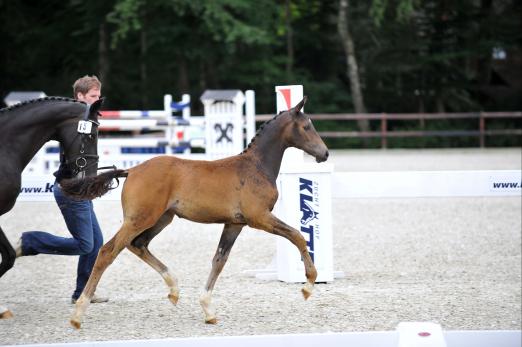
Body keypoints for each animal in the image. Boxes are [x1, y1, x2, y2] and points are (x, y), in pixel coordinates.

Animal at [62, 97, 330, 328]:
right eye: (307, 126)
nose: (325, 153)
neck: (256, 167)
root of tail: (133, 170)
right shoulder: (259, 218)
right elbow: (297, 235)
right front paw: (308, 284)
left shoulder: (235, 224)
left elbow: (219, 260)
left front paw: (208, 310)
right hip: (140, 219)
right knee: (108, 251)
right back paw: (78, 314)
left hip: (162, 219)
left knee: (138, 244)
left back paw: (174, 290)